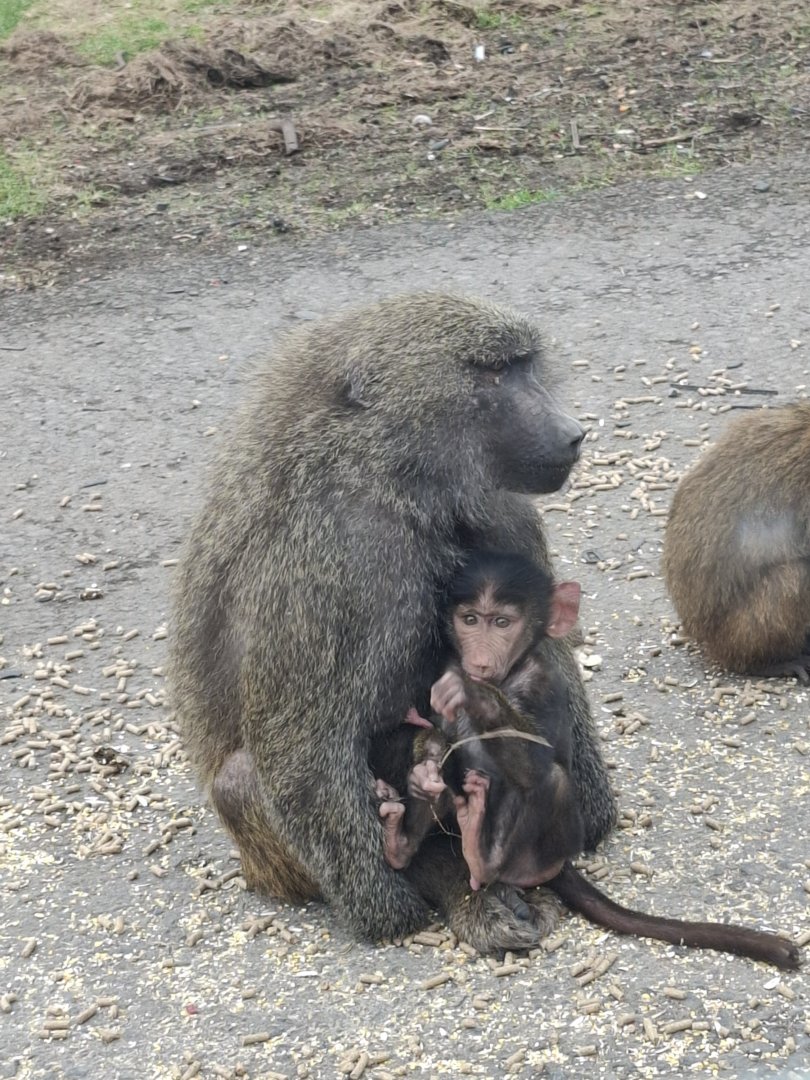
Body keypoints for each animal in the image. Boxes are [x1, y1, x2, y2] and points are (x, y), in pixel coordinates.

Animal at [170, 293, 617, 953]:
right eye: (490, 374)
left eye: (523, 366)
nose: (571, 434)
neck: (390, 473)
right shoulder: (341, 554)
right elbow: (300, 745)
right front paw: (392, 912)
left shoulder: (499, 507)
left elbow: (546, 652)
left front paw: (586, 816)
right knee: (242, 778)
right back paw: (450, 875)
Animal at [380, 551, 800, 969]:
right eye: (470, 620)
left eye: (502, 622)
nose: (480, 660)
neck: (507, 676)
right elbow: (435, 740)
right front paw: (425, 765)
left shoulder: (541, 679)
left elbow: (540, 759)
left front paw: (476, 696)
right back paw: (405, 839)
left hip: (551, 845)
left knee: (548, 782)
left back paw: (483, 857)